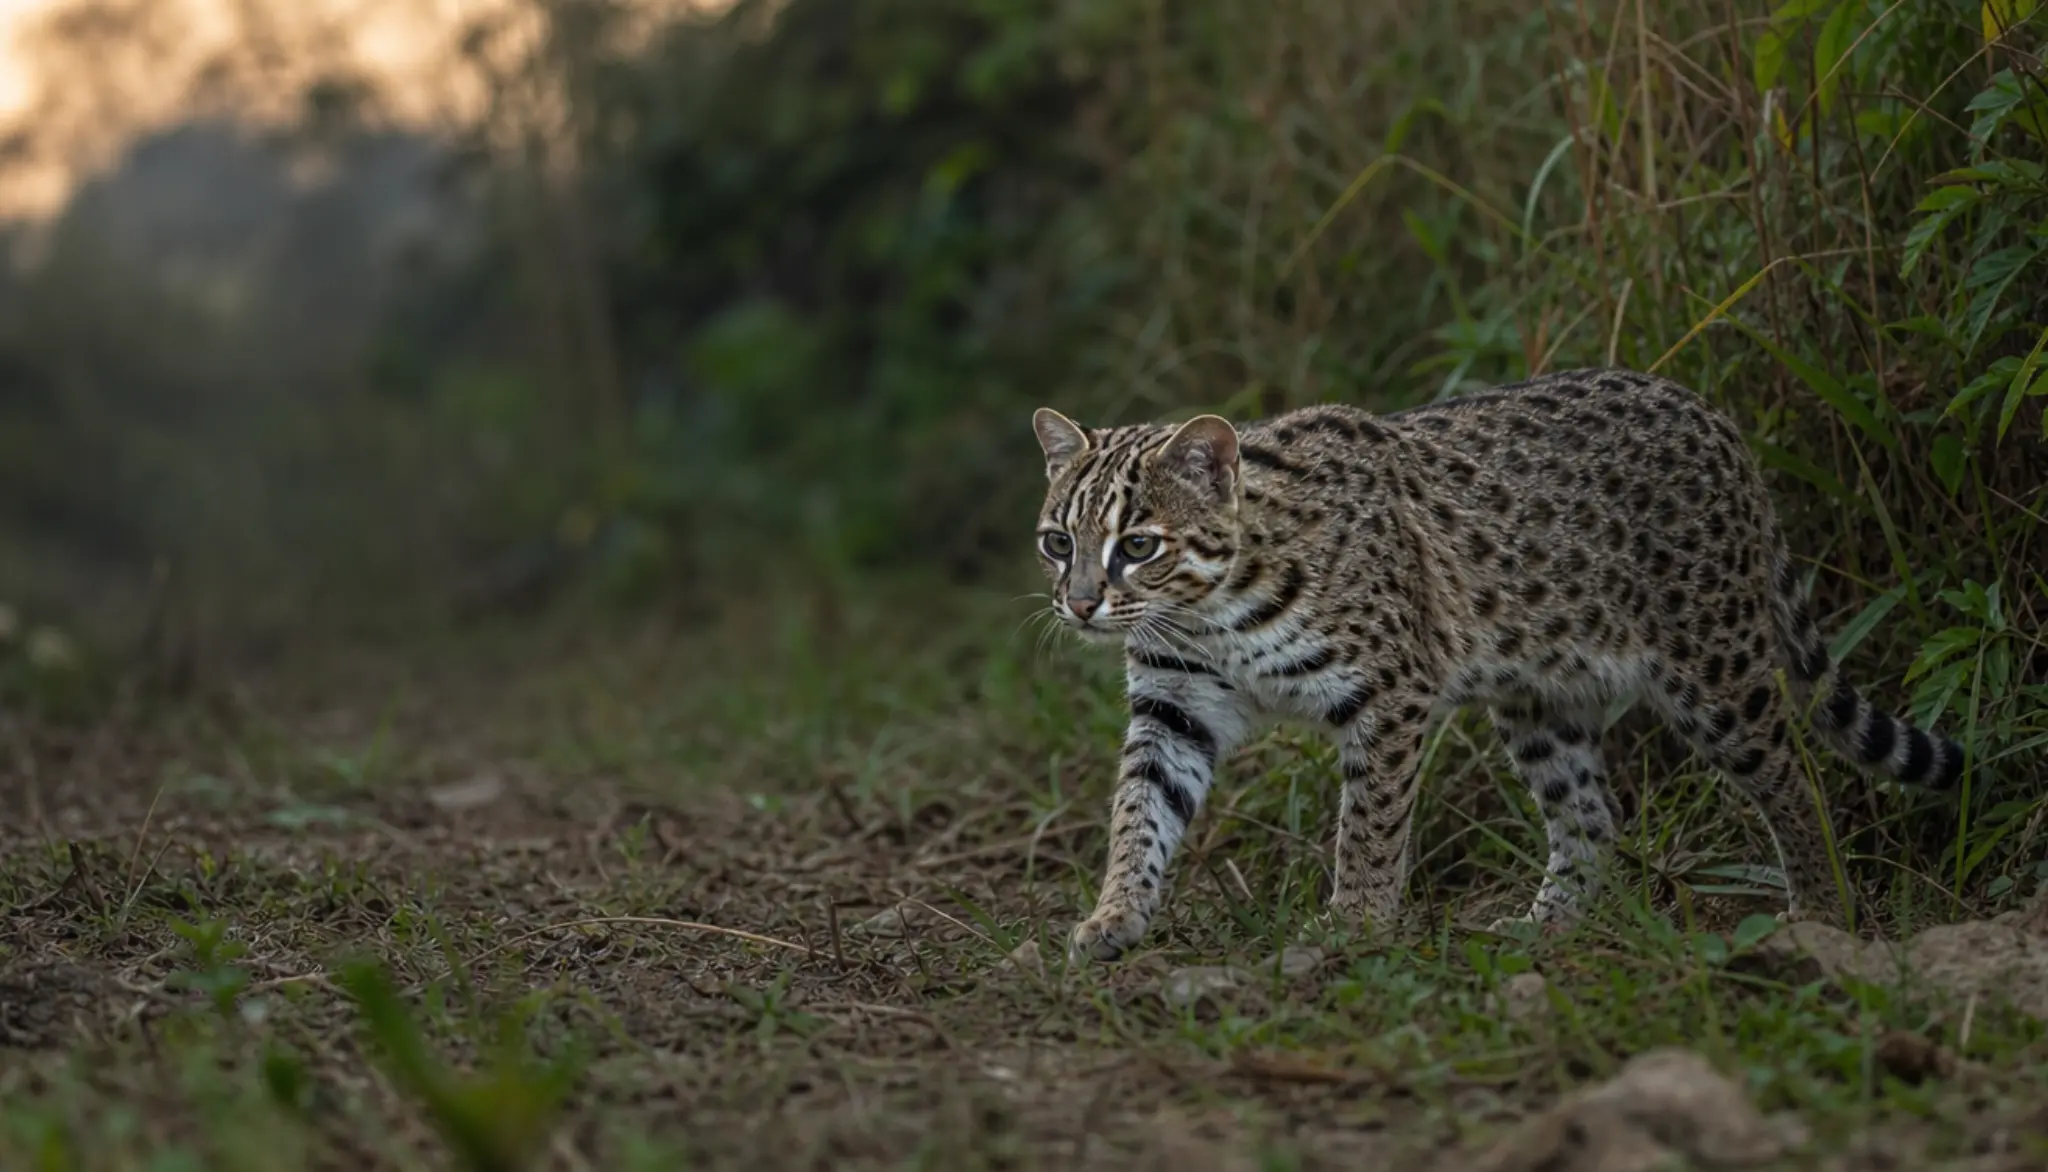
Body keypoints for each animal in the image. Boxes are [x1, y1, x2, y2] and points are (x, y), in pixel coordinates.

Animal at [1030, 367, 1966, 962]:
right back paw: (1549, 926)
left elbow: (1368, 825)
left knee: (1793, 775)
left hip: (1716, 667)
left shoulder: (1387, 691)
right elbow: (1139, 812)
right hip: (1538, 699)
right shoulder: (1174, 704)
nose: (1078, 605)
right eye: (1057, 542)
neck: (1207, 612)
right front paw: (1115, 915)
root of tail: (1708, 412)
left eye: (1138, 546)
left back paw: (1820, 909)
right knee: (1592, 813)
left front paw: (1357, 925)